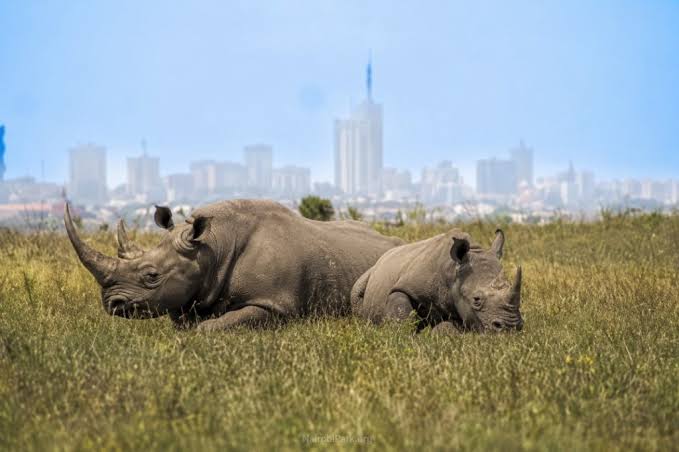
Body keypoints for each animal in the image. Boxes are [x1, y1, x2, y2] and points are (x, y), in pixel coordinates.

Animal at [351, 228, 523, 333]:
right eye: (476, 299)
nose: (511, 328)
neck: (452, 272)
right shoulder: (406, 286)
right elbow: (402, 313)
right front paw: (401, 337)